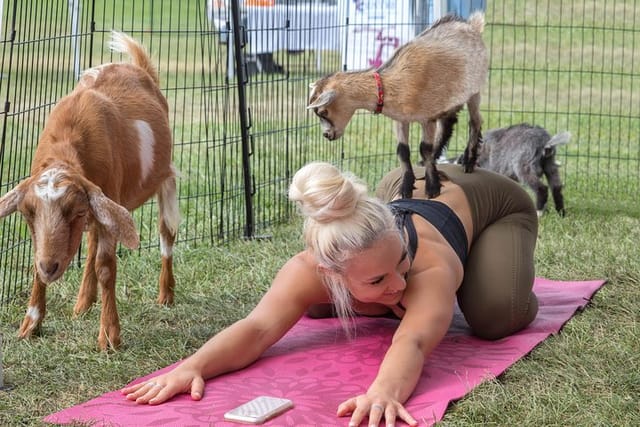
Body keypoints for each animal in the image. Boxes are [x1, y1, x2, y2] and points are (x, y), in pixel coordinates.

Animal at [0, 30, 179, 352]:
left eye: (77, 211)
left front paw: (109, 335)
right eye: (28, 213)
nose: (50, 266)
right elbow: (41, 260)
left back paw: (165, 295)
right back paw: (83, 303)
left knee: (166, 234)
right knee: (94, 241)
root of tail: (140, 68)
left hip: (164, 179)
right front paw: (30, 324)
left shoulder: (106, 198)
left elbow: (106, 266)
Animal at [308, 12, 488, 199]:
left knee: (475, 121)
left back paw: (468, 161)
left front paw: (432, 187)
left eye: (323, 111)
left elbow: (424, 148)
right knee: (448, 123)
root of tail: (472, 25)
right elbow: (402, 150)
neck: (389, 85)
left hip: (474, 90)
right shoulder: (401, 119)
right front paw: (406, 187)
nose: (327, 135)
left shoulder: (427, 117)